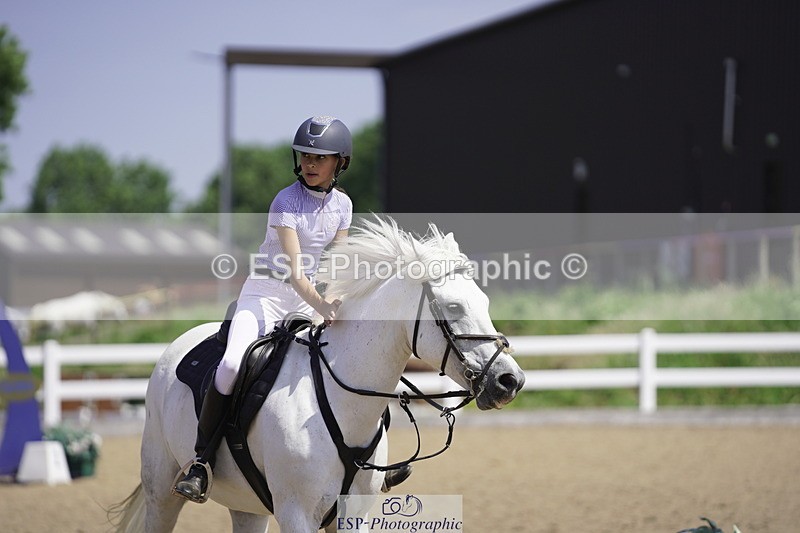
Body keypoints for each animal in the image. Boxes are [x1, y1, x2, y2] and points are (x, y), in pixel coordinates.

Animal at [111, 217, 526, 533]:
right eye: (453, 307)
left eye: (485, 303)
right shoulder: (297, 515)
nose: (510, 381)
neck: (342, 403)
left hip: (247, 507)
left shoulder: (351, 516)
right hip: (161, 491)